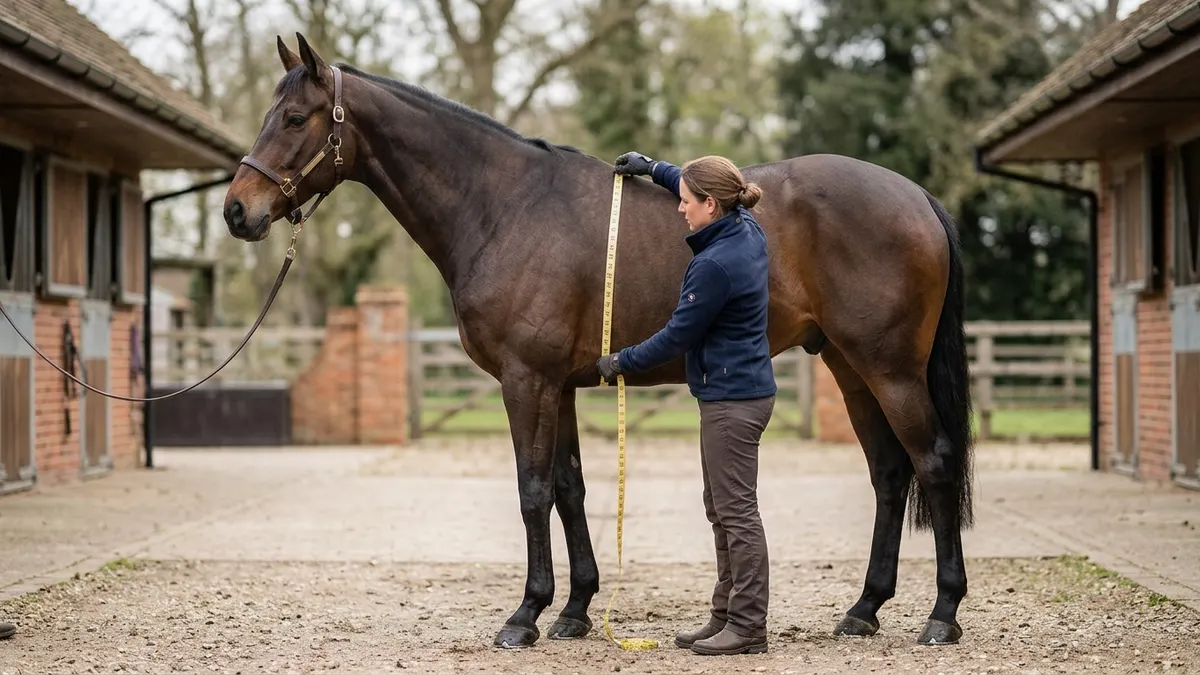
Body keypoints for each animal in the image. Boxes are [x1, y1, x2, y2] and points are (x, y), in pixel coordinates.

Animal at [223, 33, 975, 649]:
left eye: (295, 119)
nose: (236, 211)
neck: (503, 206)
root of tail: (918, 197)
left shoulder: (526, 379)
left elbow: (531, 490)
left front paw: (525, 615)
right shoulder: (558, 384)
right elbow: (569, 488)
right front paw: (575, 609)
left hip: (890, 368)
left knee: (933, 462)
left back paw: (942, 614)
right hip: (850, 367)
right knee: (889, 474)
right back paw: (863, 609)